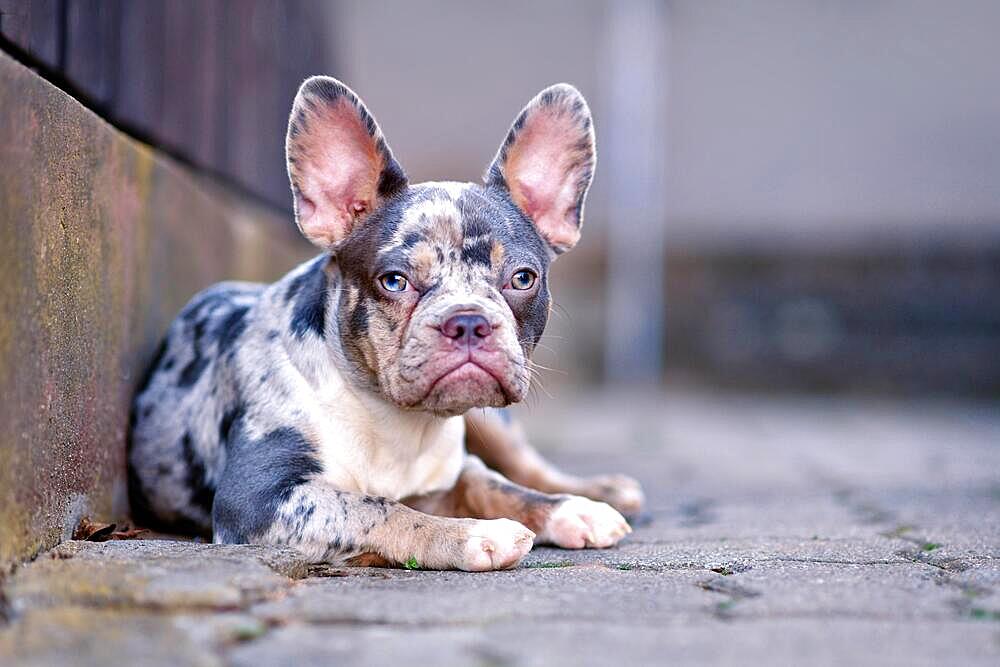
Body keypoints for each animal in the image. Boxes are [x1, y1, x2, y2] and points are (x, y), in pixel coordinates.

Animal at [129, 77, 644, 568]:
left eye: (523, 278)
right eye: (394, 281)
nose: (469, 321)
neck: (395, 420)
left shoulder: (455, 472)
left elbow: (493, 484)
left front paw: (566, 508)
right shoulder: (261, 498)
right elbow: (379, 510)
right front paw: (474, 535)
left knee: (522, 463)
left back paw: (599, 490)